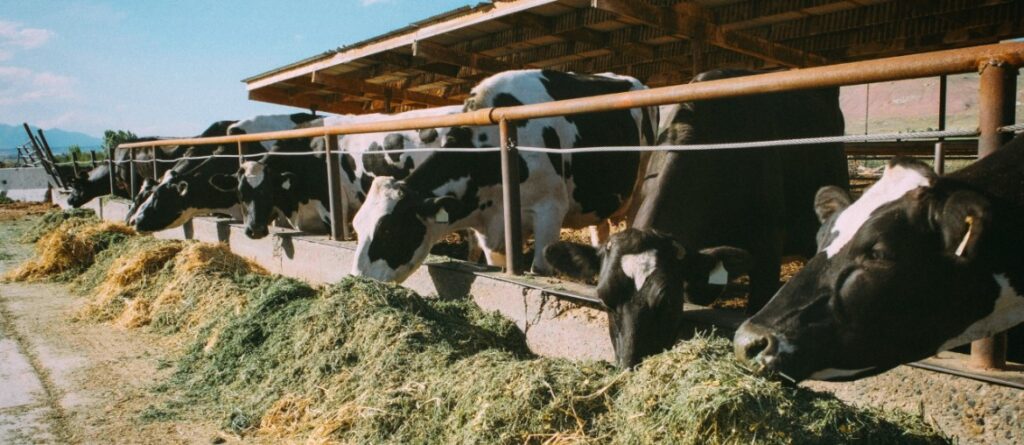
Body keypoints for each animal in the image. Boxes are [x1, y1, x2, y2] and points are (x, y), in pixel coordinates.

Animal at [352, 69, 655, 282]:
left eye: (388, 229)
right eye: (356, 225)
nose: (357, 280)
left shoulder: (549, 211)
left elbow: (539, 269)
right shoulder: (490, 228)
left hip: (641, 185)